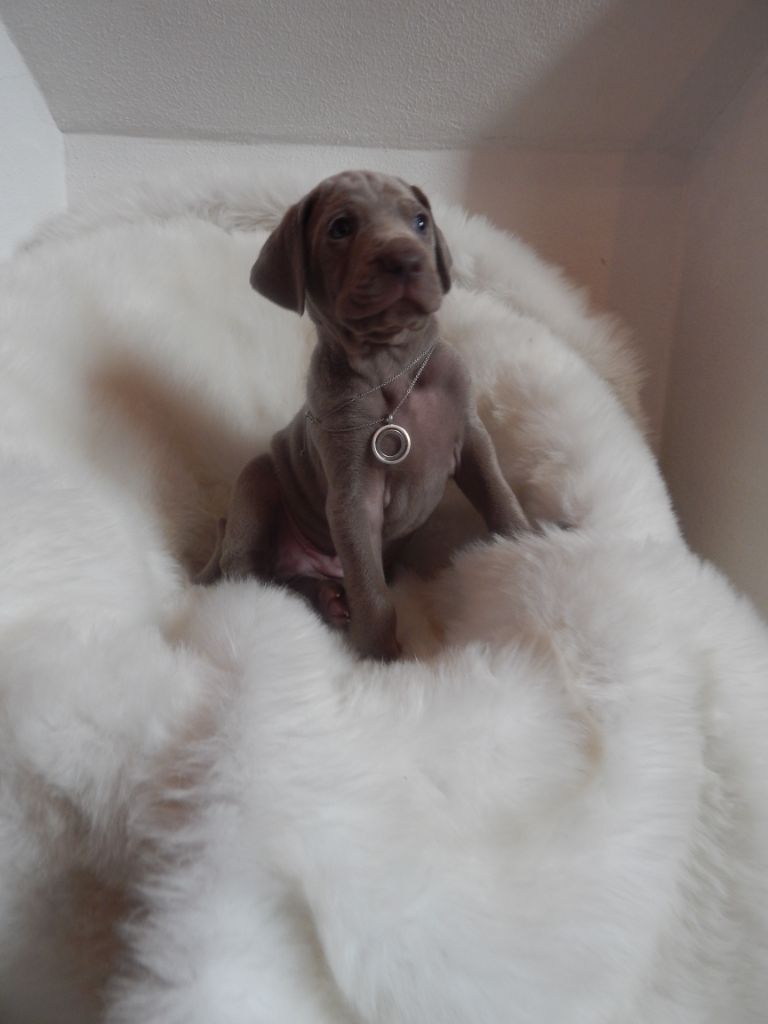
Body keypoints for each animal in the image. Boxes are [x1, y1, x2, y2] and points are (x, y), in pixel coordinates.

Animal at [198, 170, 530, 660]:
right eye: (340, 228)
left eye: (420, 221)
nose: (406, 259)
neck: (394, 368)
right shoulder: (355, 495)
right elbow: (371, 589)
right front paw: (380, 659)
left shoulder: (472, 437)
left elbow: (497, 491)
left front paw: (526, 546)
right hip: (257, 483)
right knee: (252, 576)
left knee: (290, 582)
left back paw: (328, 598)